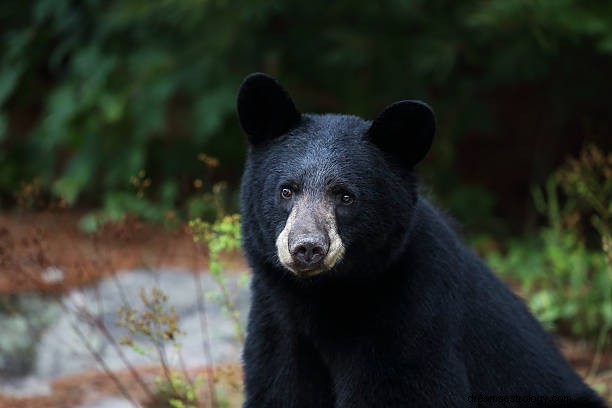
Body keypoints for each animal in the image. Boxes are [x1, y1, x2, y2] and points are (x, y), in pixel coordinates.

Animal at [235, 73, 608, 408]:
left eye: (346, 197)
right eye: (286, 190)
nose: (308, 248)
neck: (324, 299)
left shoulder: (412, 318)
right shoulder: (278, 329)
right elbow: (277, 390)